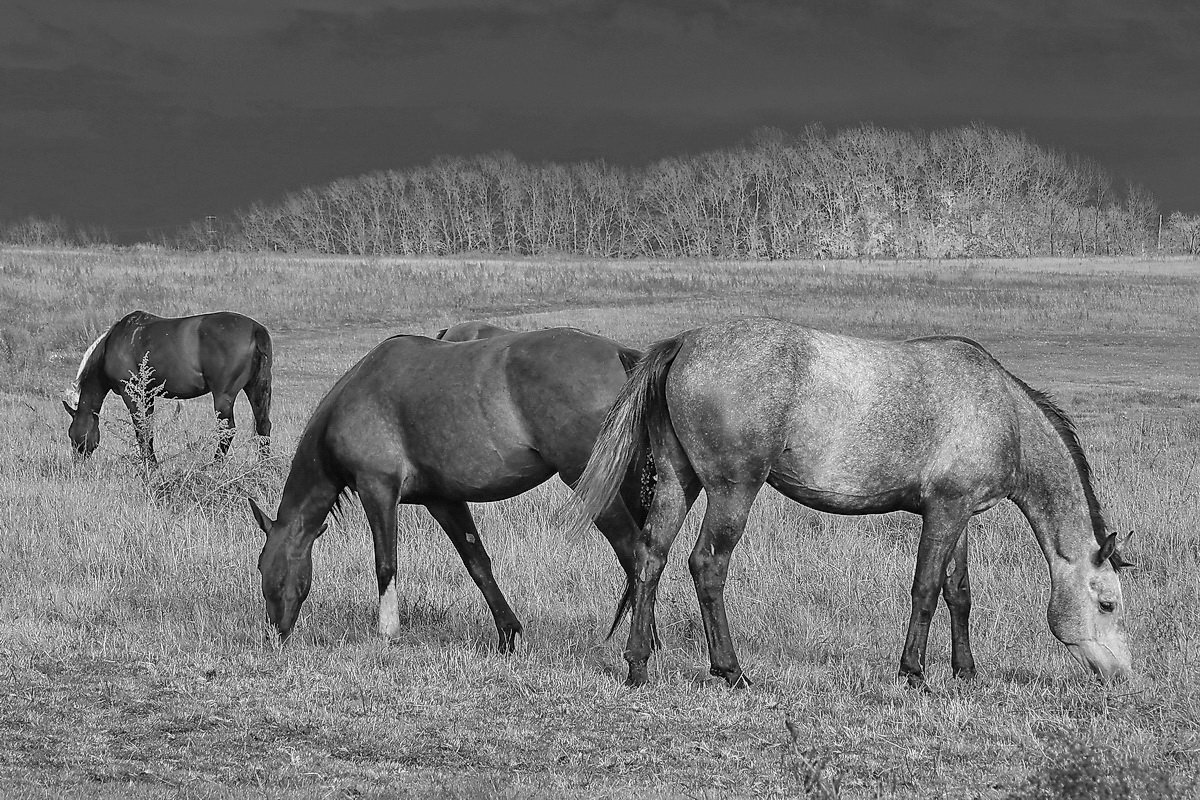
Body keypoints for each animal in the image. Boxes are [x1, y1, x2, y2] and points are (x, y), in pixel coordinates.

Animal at [62, 311, 272, 462]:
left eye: (73, 436)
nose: (78, 463)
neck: (114, 344)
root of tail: (256, 330)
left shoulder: (131, 394)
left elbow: (142, 431)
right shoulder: (147, 396)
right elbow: (148, 430)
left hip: (223, 396)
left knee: (227, 430)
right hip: (256, 389)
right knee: (263, 426)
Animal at [247, 326, 652, 652]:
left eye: (273, 573)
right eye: (260, 567)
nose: (274, 635)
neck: (355, 397)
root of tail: (619, 353)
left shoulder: (378, 490)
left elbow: (385, 564)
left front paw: (388, 632)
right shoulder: (443, 501)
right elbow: (477, 563)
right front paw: (507, 635)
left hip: (592, 485)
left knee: (633, 551)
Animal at [571, 316, 1132, 690]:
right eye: (1106, 603)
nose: (1121, 674)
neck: (1002, 412)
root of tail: (685, 342)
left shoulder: (959, 516)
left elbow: (959, 593)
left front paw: (966, 673)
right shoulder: (944, 514)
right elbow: (926, 590)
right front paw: (914, 675)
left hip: (676, 482)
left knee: (650, 558)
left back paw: (638, 666)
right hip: (733, 491)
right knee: (707, 565)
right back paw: (731, 671)